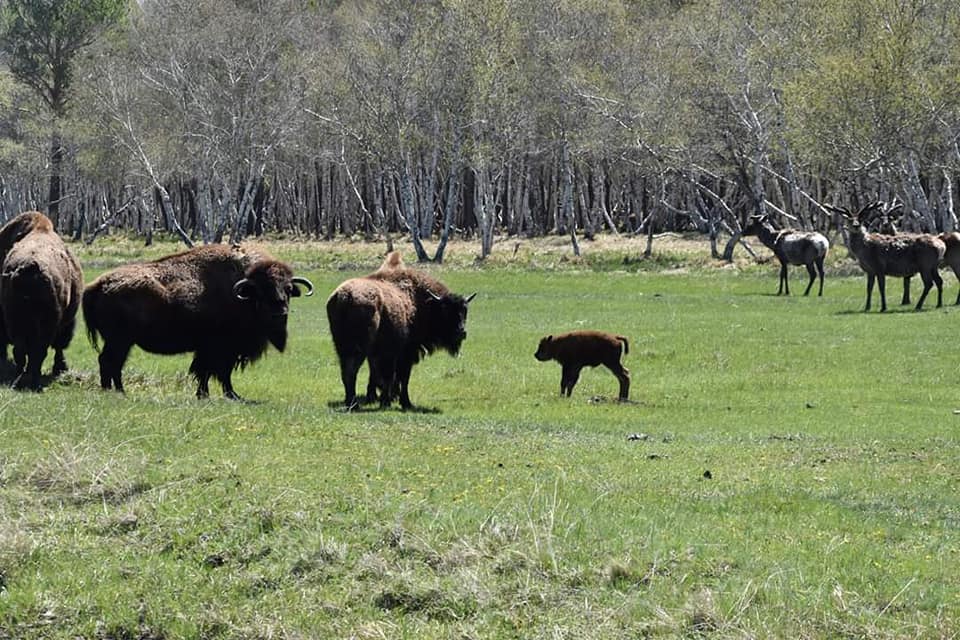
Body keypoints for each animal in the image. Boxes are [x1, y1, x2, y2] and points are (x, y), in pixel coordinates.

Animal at [0, 212, 83, 388]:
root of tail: (30, 268)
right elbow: (58, 347)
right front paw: (60, 368)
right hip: (44, 324)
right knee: (37, 351)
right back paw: (33, 381)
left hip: (18, 321)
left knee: (24, 351)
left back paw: (22, 378)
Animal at [82, 245, 314, 400]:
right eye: (262, 291)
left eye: (288, 289)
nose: (280, 312)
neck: (242, 294)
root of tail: (97, 284)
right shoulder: (219, 348)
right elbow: (214, 372)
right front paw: (219, 395)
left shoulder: (216, 350)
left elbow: (211, 372)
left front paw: (217, 394)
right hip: (120, 340)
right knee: (109, 361)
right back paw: (117, 392)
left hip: (122, 342)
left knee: (113, 363)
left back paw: (117, 391)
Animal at [326, 251, 476, 410]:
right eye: (445, 310)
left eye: (465, 310)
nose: (461, 332)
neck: (420, 301)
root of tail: (344, 296)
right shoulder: (405, 352)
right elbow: (401, 377)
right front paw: (403, 402)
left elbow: (389, 376)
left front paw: (387, 400)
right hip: (359, 349)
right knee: (352, 371)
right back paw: (354, 404)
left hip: (342, 347)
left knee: (346, 372)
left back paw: (352, 402)